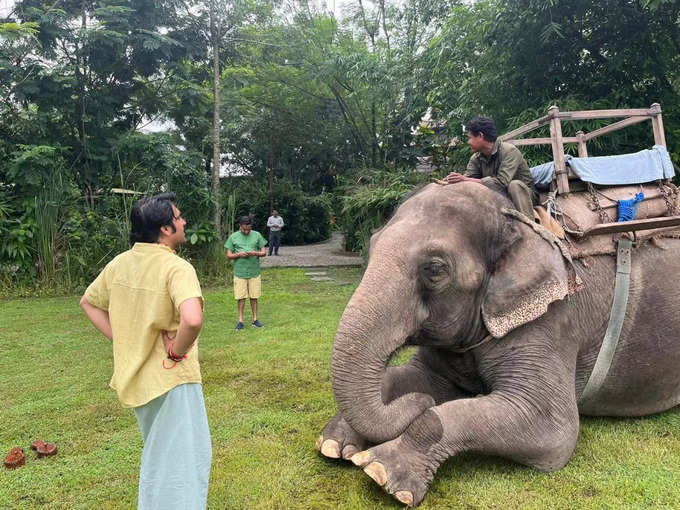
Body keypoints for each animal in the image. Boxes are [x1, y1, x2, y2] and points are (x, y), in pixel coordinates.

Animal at [314, 182, 680, 506]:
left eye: (435, 269)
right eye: (372, 245)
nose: (418, 403)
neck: (518, 220)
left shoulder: (553, 319)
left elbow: (554, 429)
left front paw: (380, 470)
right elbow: (416, 378)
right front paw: (335, 445)